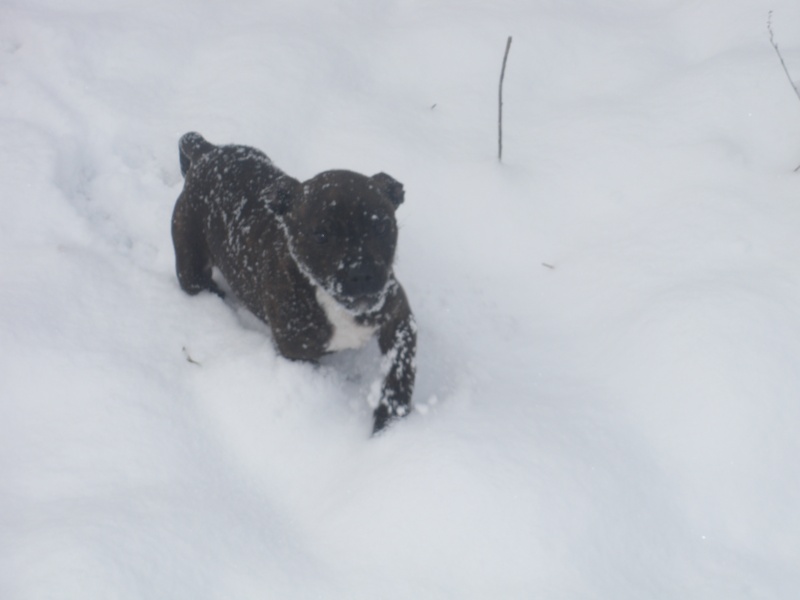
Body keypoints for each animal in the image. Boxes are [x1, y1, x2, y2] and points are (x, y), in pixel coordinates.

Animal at [171, 132, 416, 432]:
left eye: (381, 225)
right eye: (321, 235)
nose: (361, 272)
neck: (330, 301)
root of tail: (206, 152)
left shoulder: (399, 317)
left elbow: (400, 367)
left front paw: (391, 419)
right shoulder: (297, 354)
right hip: (190, 263)